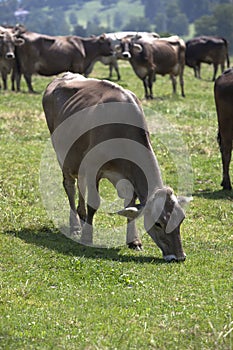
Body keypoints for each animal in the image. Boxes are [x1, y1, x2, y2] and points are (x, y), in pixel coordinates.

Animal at [41, 72, 189, 262]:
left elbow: (129, 207)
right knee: (70, 186)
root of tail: (63, 76)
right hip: (64, 156)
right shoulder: (93, 168)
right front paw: (87, 237)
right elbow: (94, 203)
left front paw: (134, 241)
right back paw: (75, 227)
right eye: (158, 223)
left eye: (181, 219)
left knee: (80, 187)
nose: (179, 256)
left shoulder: (125, 177)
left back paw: (82, 218)